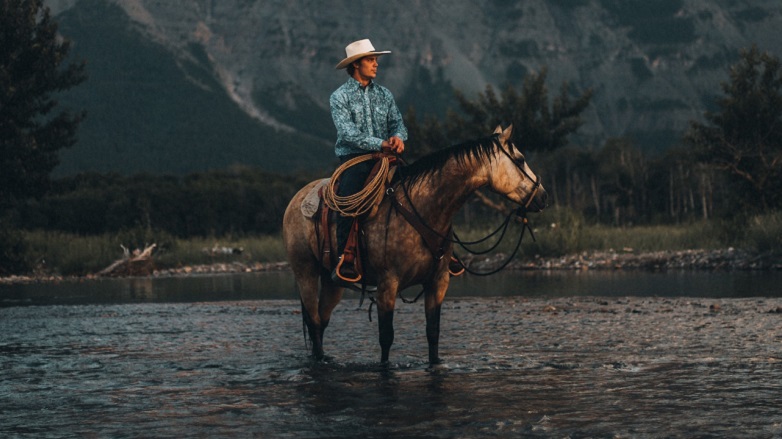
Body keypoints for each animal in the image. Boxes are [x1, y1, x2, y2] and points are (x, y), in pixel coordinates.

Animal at [284, 125, 552, 366]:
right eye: (520, 159)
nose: (543, 196)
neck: (423, 208)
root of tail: (297, 197)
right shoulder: (387, 285)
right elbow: (386, 338)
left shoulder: (437, 282)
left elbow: (433, 334)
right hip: (305, 272)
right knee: (314, 321)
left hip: (332, 281)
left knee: (322, 320)